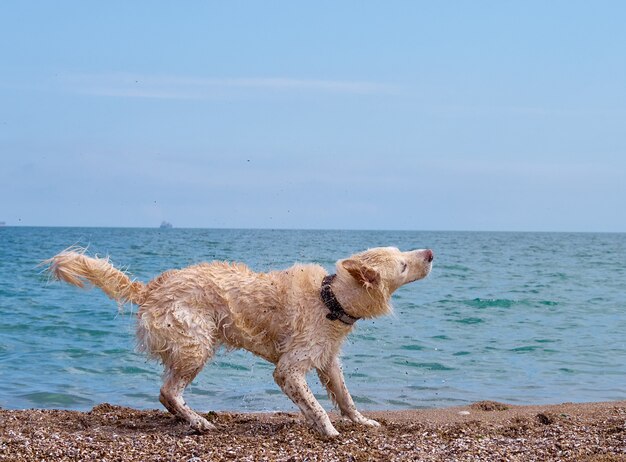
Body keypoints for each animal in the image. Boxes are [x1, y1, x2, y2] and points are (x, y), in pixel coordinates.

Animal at [46, 245, 432, 436]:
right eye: (401, 265)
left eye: (402, 252)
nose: (429, 253)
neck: (330, 299)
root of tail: (149, 290)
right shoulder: (289, 370)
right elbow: (316, 404)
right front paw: (327, 430)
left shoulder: (327, 361)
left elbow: (346, 399)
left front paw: (362, 422)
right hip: (196, 344)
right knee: (169, 391)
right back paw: (198, 422)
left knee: (166, 394)